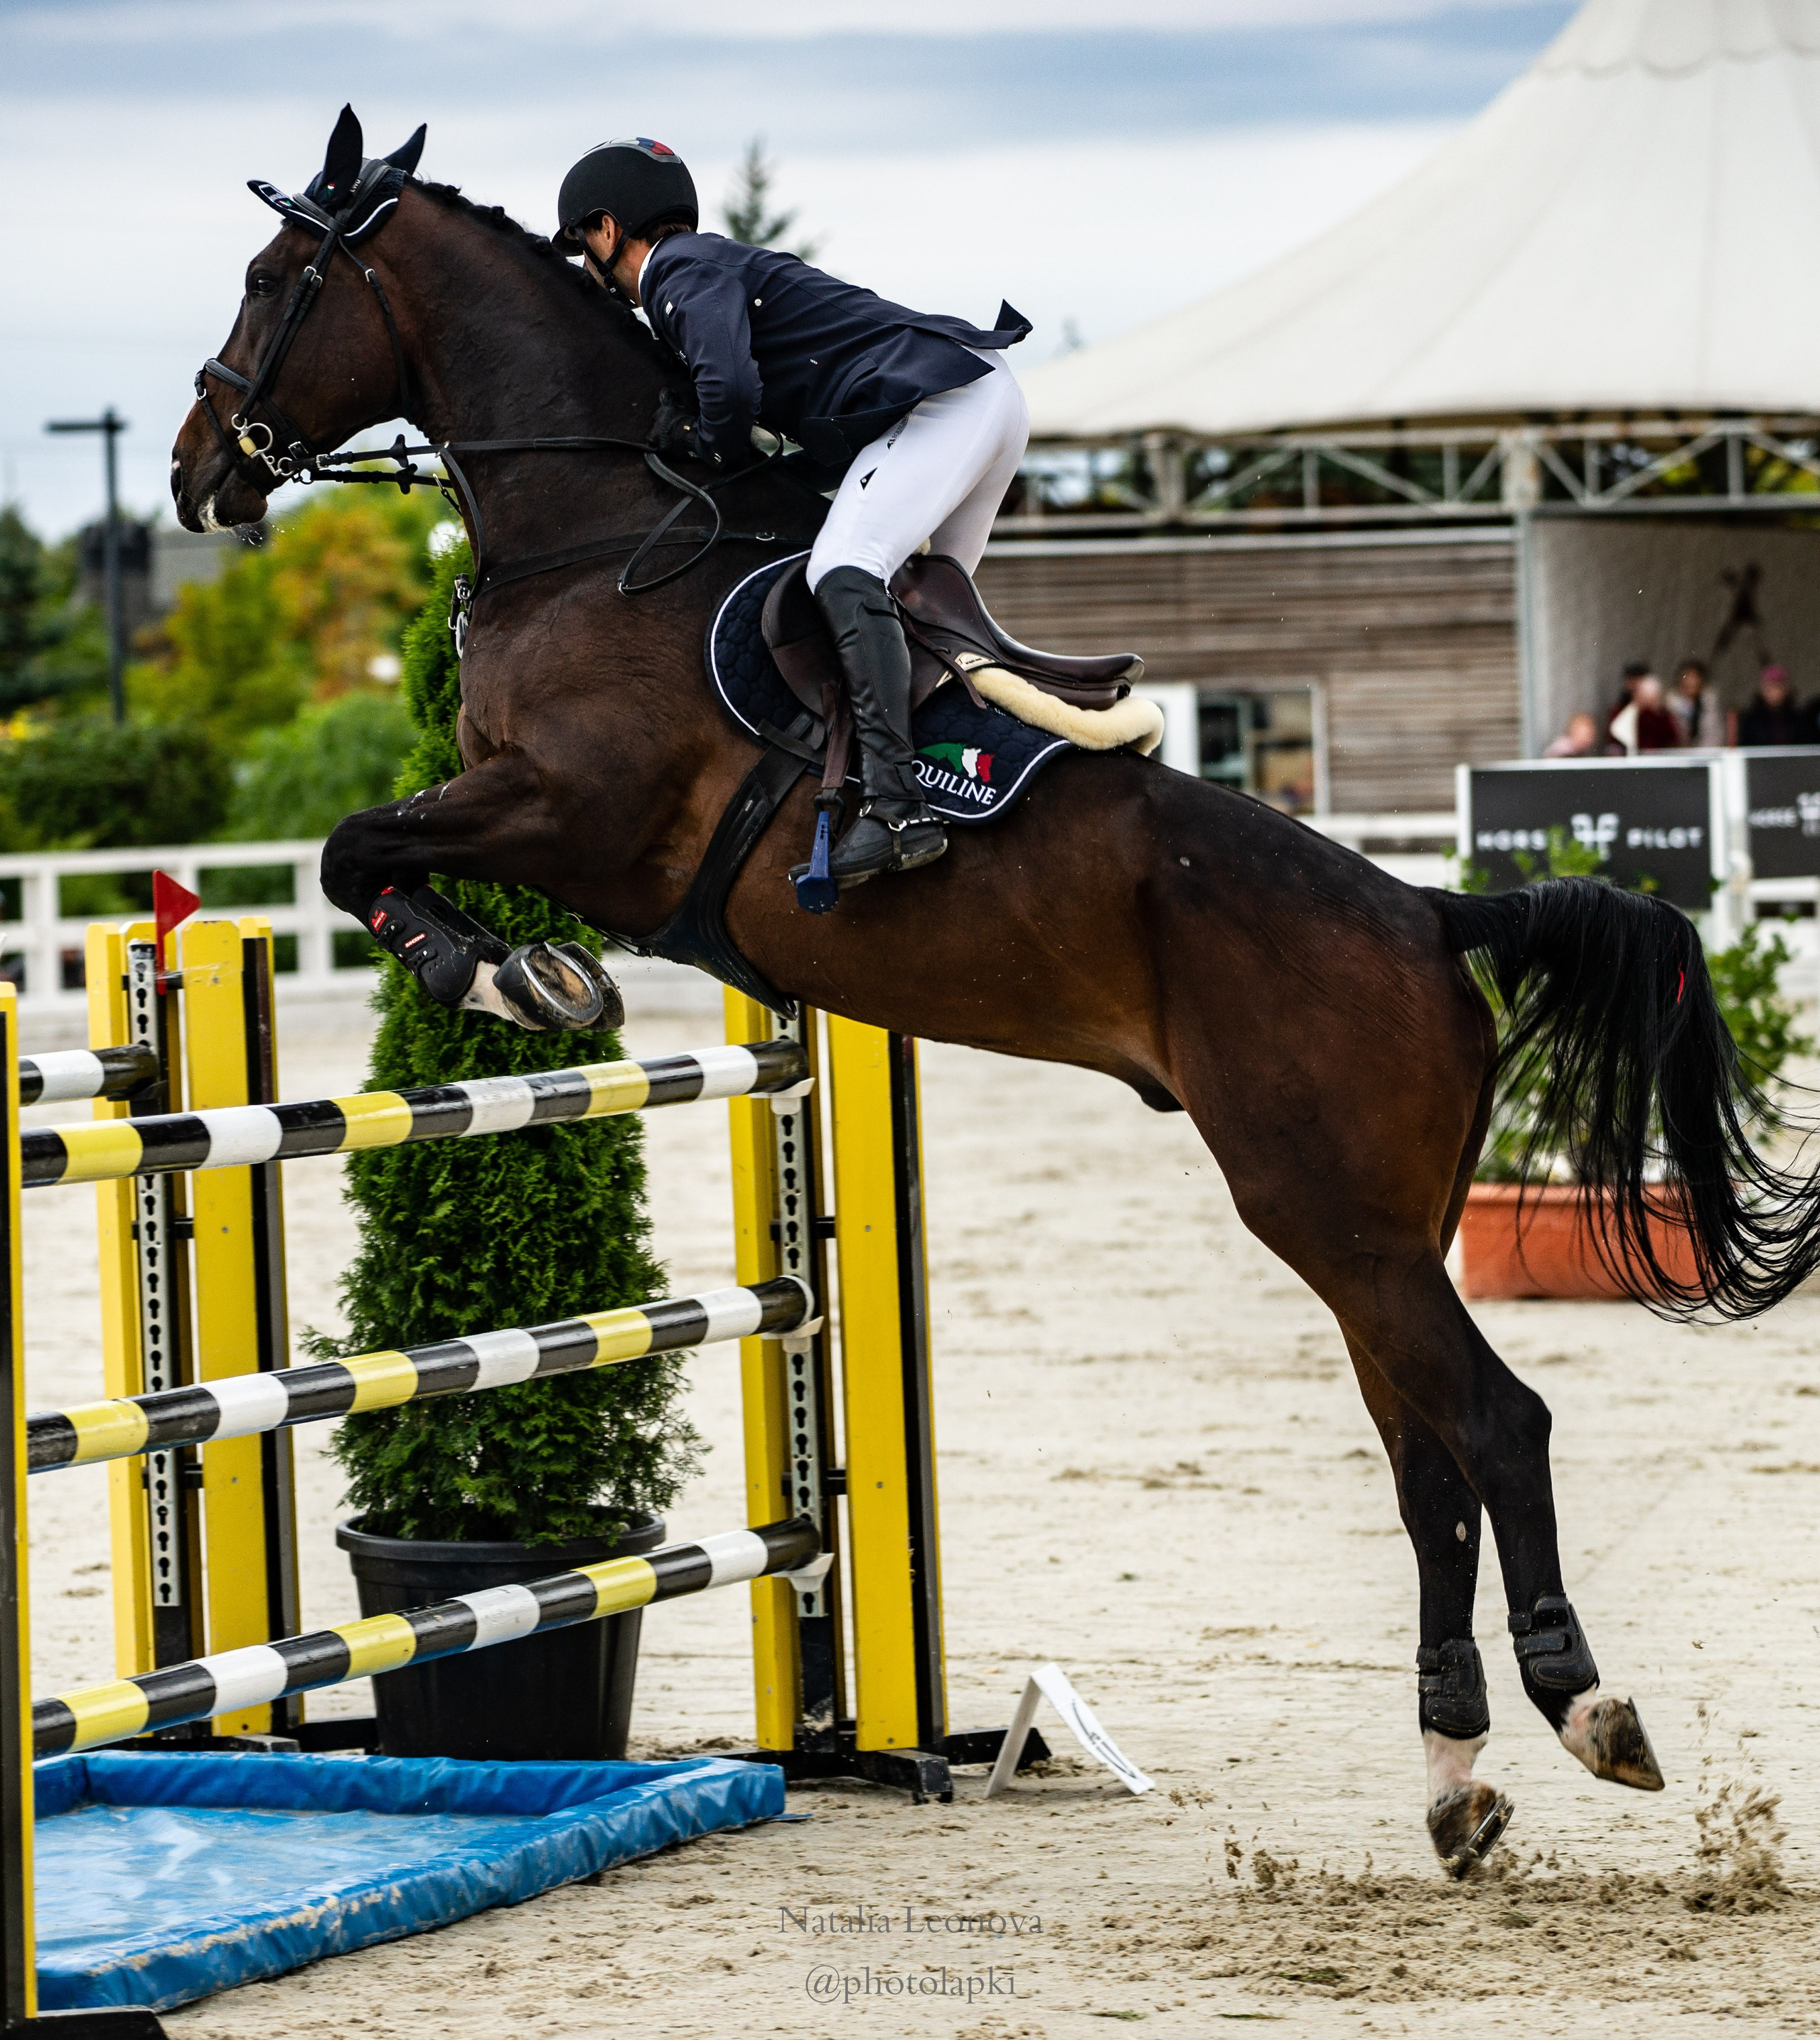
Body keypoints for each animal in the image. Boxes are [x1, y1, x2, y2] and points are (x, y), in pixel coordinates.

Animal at [170, 112, 1820, 1876]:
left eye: (273, 278)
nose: (200, 469)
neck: (599, 534)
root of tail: (1426, 909)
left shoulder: (571, 812)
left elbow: (356, 845)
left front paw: (501, 975)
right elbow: (366, 849)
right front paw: (517, 973)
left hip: (1329, 1213)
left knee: (1495, 1430)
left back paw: (1588, 1712)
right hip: (1375, 1228)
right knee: (1423, 1465)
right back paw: (1449, 1779)